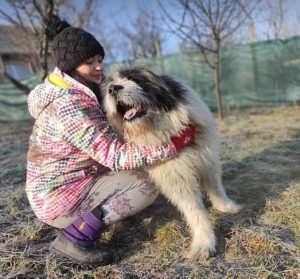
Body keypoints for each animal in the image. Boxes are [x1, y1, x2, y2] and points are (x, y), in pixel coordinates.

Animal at [101, 66, 241, 260]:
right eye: (110, 85)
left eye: (134, 79)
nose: (113, 89)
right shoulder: (176, 176)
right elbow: (195, 210)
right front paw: (204, 243)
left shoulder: (208, 158)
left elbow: (215, 186)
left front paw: (226, 207)